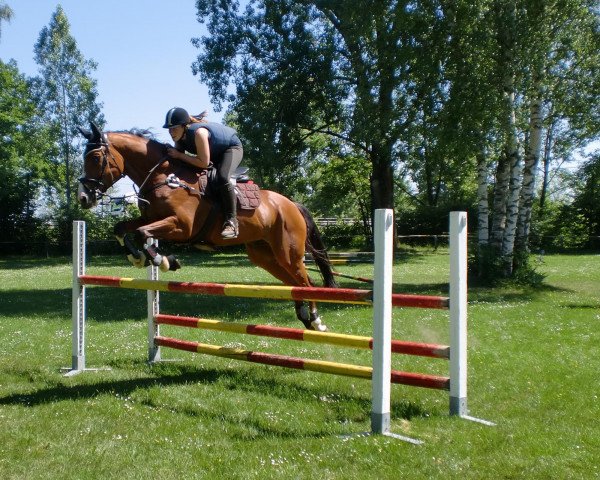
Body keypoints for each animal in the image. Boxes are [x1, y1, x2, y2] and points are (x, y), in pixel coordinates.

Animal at [77, 122, 338, 332]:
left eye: (95, 158)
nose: (83, 198)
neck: (164, 177)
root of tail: (291, 204)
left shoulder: (182, 227)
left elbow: (142, 234)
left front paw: (163, 260)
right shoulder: (150, 218)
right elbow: (122, 228)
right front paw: (140, 257)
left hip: (288, 252)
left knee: (307, 282)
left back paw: (316, 320)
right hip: (265, 255)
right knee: (296, 282)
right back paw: (304, 316)